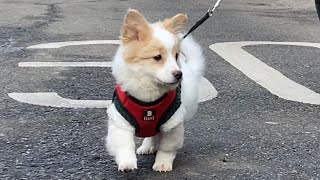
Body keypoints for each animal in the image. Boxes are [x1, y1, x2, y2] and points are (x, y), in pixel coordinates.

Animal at [105, 9, 205, 172]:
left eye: (176, 56)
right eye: (157, 57)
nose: (179, 74)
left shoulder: (172, 123)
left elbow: (166, 148)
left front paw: (162, 164)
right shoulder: (120, 122)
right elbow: (124, 144)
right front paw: (127, 163)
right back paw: (146, 147)